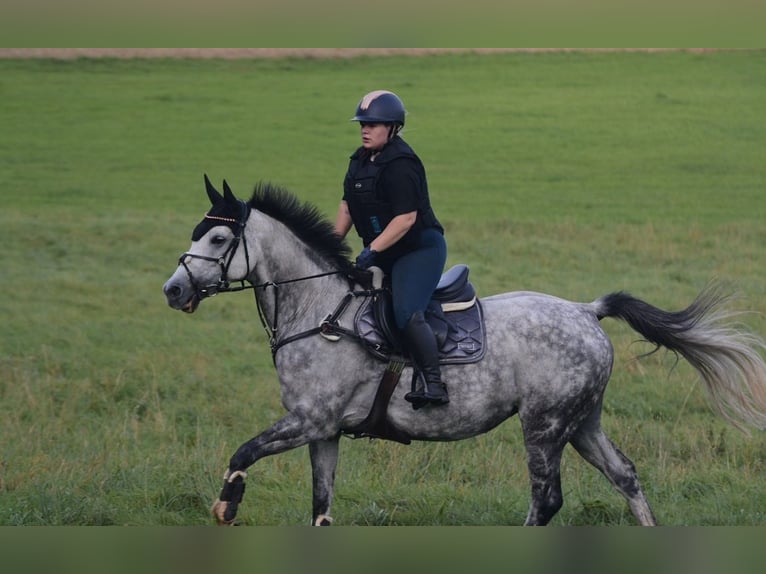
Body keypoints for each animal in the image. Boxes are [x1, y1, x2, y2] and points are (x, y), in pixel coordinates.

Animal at [164, 177, 766, 528]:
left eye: (218, 240)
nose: (173, 290)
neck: (321, 311)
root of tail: (585, 311)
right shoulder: (325, 431)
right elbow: (321, 508)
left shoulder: (310, 420)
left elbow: (243, 452)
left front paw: (226, 506)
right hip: (582, 421)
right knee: (626, 476)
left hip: (545, 424)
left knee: (546, 501)